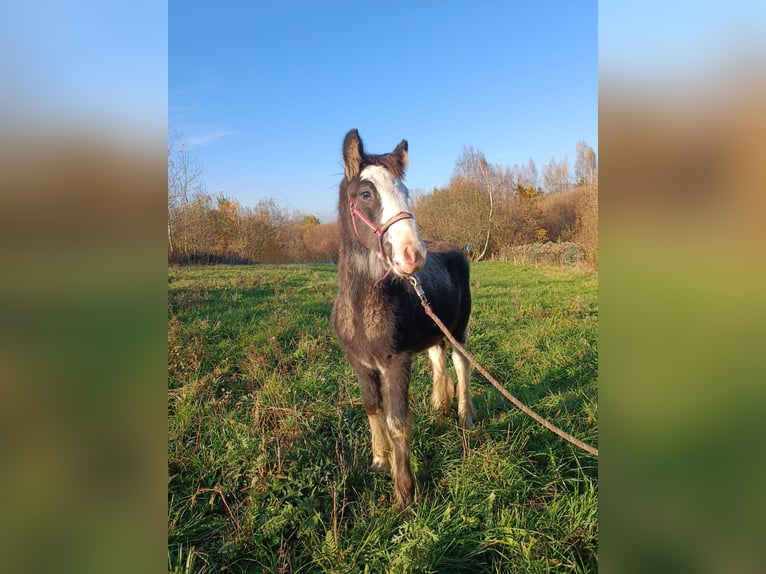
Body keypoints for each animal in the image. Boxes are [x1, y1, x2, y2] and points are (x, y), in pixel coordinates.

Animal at [332, 130, 476, 508]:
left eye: (405, 192)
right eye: (366, 194)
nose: (413, 254)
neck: (362, 307)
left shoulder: (396, 361)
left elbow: (398, 421)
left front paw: (405, 493)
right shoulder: (358, 360)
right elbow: (372, 407)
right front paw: (379, 460)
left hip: (459, 330)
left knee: (461, 366)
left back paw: (464, 415)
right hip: (433, 333)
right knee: (438, 360)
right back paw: (440, 407)